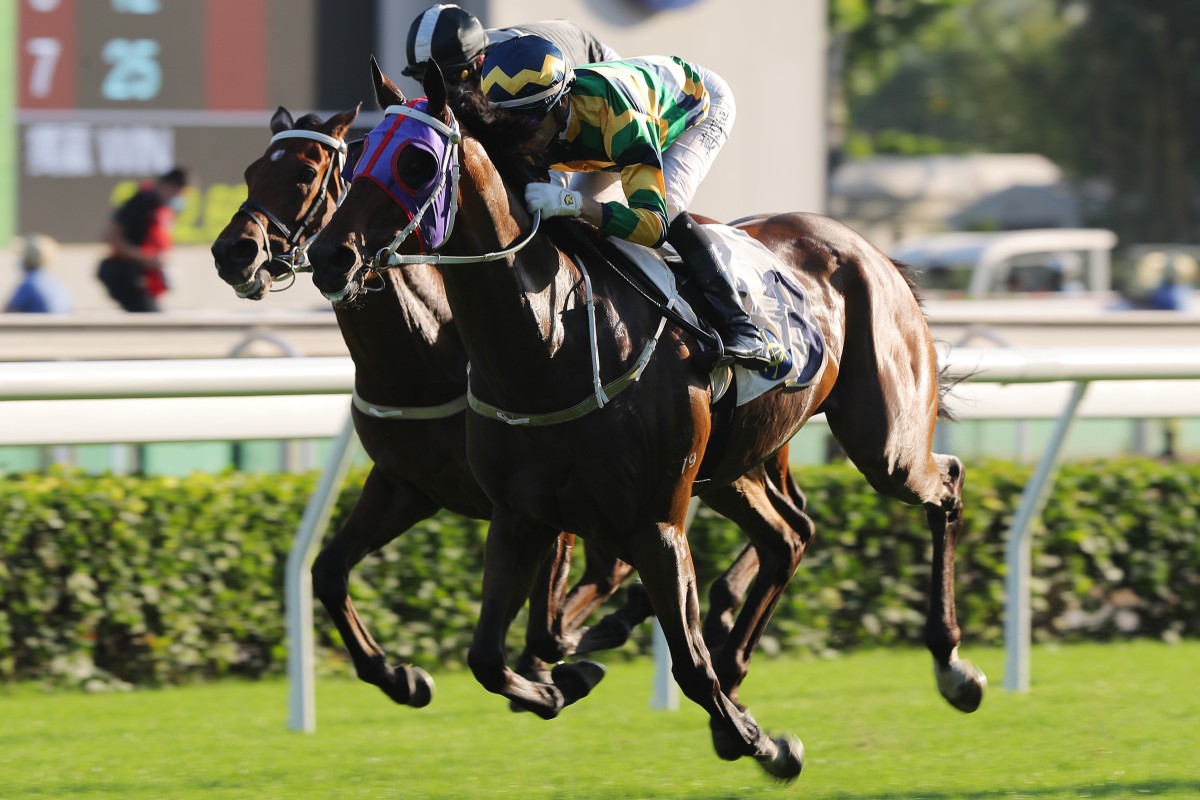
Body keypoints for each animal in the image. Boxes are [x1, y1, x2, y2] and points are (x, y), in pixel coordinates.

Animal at [211, 104, 662, 705]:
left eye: (305, 174)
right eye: (250, 172)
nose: (232, 251)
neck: (424, 356)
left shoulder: (546, 495)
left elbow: (544, 617)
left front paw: (554, 669)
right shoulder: (408, 483)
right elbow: (327, 570)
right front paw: (400, 677)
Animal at [304, 61, 988, 782]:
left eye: (416, 162)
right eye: (356, 160)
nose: (330, 256)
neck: (550, 340)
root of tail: (869, 249)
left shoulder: (654, 524)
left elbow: (685, 663)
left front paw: (765, 743)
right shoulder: (517, 516)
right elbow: (487, 656)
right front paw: (555, 684)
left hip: (884, 442)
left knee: (945, 483)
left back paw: (953, 665)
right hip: (729, 468)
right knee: (788, 536)